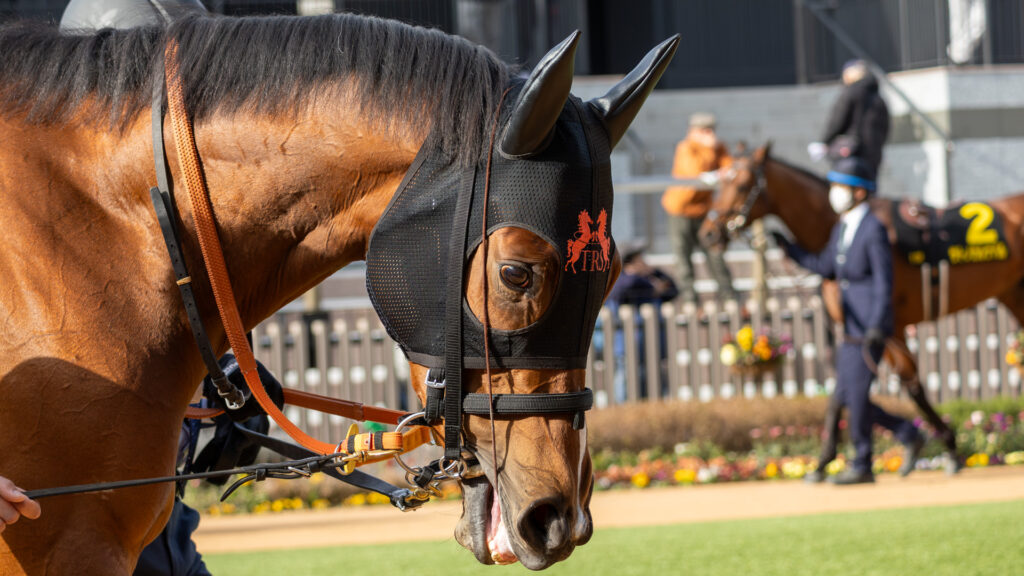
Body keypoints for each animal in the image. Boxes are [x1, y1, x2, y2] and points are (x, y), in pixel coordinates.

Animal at [699, 144, 1024, 473]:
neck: (836, 225)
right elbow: (852, 389)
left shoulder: (886, 327)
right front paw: (829, 457)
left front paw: (947, 446)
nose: (708, 233)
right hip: (1013, 295)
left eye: (742, 185)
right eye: (719, 182)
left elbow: (900, 384)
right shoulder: (863, 332)